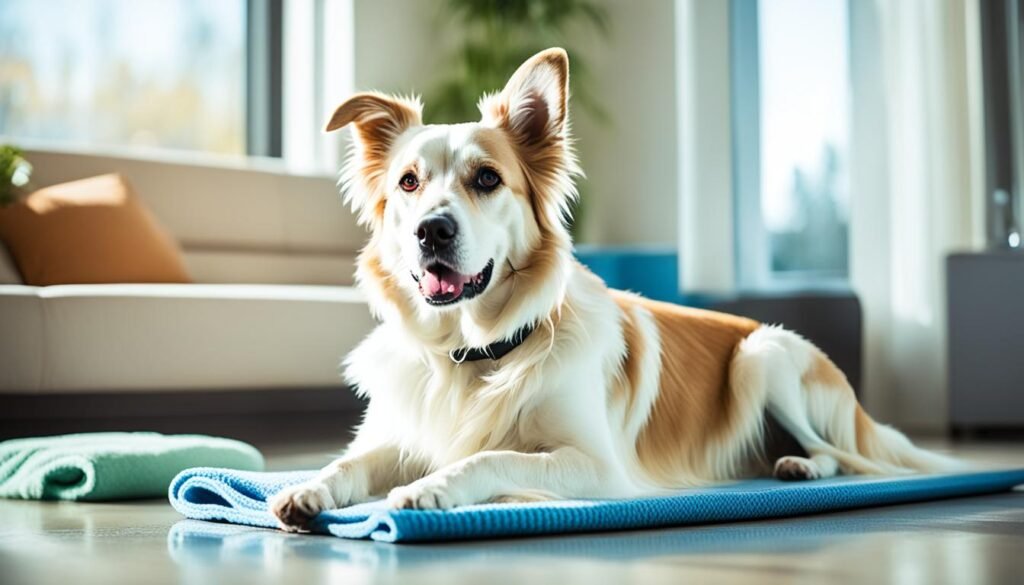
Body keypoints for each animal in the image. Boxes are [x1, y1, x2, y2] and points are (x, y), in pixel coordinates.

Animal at [268, 46, 954, 532]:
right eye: (408, 183)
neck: (475, 355)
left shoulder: (597, 467)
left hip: (763, 357)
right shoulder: (398, 434)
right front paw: (307, 487)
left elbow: (491, 457)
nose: (431, 231)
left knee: (845, 456)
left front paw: (429, 489)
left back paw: (803, 464)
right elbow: (349, 460)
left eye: (487, 178)